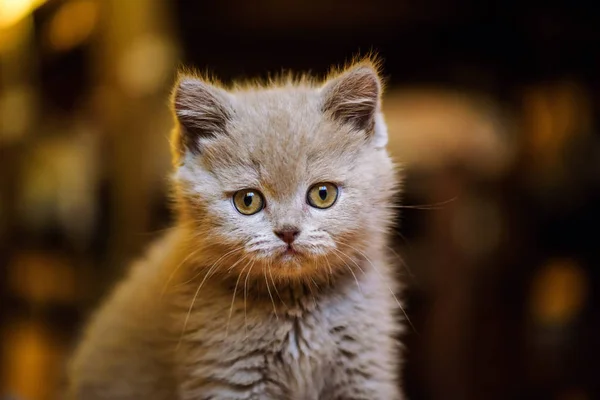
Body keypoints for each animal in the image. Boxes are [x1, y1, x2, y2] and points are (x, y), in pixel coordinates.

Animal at [69, 57, 408, 398]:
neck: (295, 305)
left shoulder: (365, 369)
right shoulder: (229, 378)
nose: (288, 231)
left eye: (322, 194)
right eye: (248, 201)